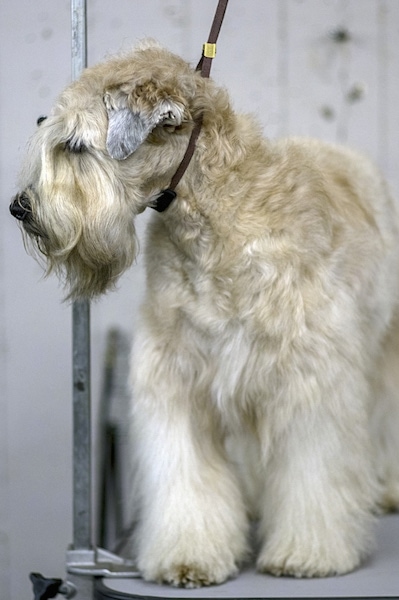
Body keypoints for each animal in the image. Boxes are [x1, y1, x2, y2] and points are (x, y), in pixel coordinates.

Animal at [9, 41, 399, 584]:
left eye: (76, 146)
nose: (19, 208)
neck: (216, 220)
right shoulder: (178, 378)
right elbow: (186, 479)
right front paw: (188, 557)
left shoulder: (308, 382)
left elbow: (312, 473)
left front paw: (307, 553)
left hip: (381, 351)